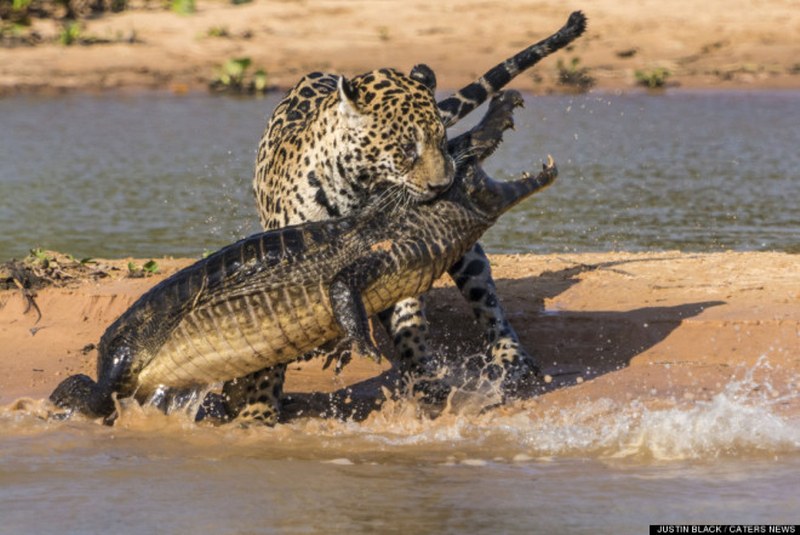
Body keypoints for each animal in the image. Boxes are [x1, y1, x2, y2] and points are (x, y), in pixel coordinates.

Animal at [222, 11, 588, 425]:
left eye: (442, 140)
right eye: (406, 148)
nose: (444, 185)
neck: (357, 191)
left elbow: (408, 321)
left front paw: (424, 383)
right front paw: (257, 412)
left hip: (469, 258)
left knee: (488, 303)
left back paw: (511, 358)